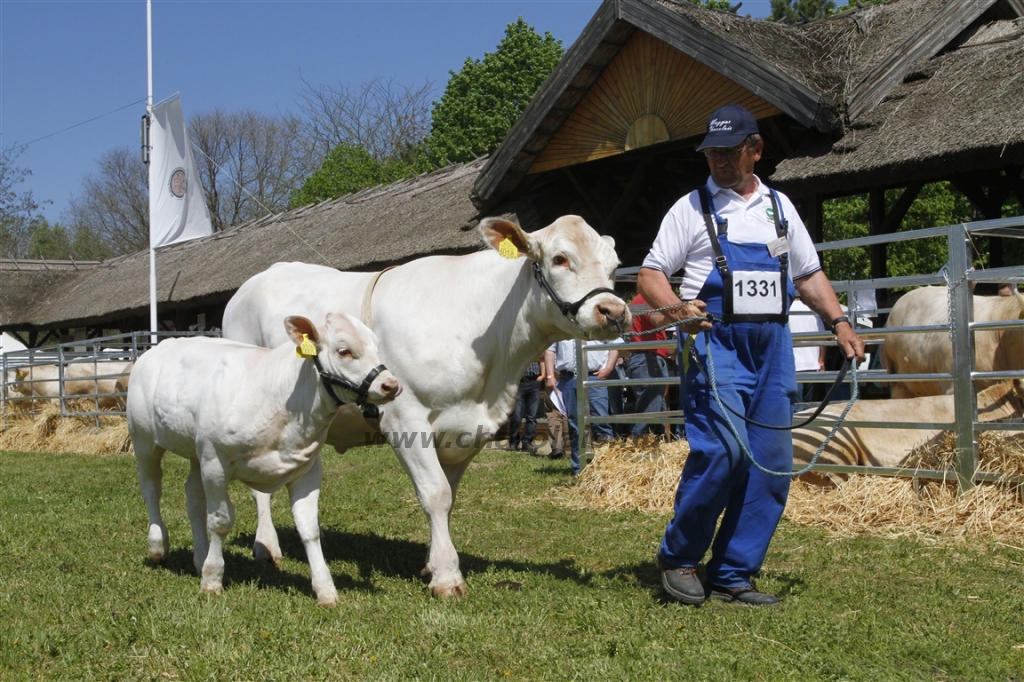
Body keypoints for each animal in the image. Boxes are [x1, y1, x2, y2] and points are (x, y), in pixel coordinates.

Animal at [124, 313, 399, 606]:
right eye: (343, 350)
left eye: (376, 346)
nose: (391, 385)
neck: (277, 398)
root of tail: (158, 347)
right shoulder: (215, 461)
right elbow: (220, 521)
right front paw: (212, 579)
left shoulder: (308, 468)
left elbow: (309, 528)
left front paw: (325, 589)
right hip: (144, 440)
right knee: (151, 488)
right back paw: (158, 546)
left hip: (196, 451)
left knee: (194, 498)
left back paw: (199, 557)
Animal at [222, 215, 630, 593]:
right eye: (560, 258)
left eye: (614, 266)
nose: (613, 311)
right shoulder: (405, 418)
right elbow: (435, 494)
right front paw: (447, 576)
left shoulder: (468, 428)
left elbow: (449, 496)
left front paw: (433, 564)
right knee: (259, 489)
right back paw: (266, 548)